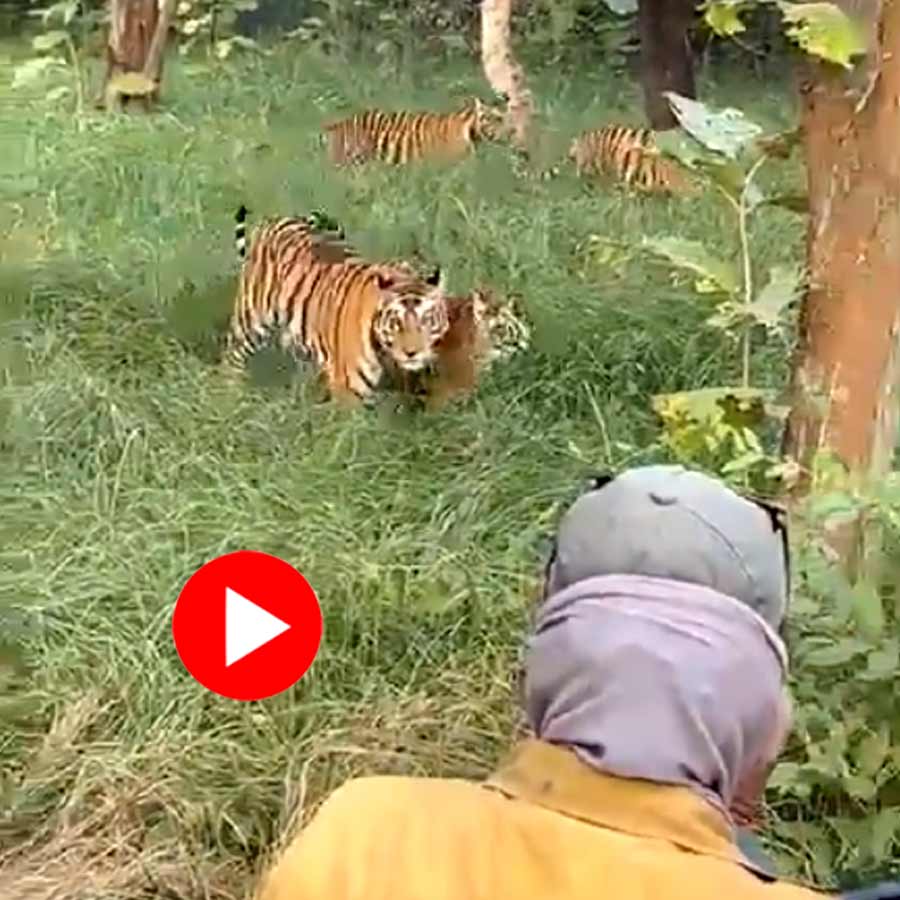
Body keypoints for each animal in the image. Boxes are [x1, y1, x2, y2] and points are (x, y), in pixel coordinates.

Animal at [224, 205, 451, 407]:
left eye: (426, 319)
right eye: (396, 321)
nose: (412, 353)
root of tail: (273, 219)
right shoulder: (349, 392)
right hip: (249, 323)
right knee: (232, 358)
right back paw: (231, 399)